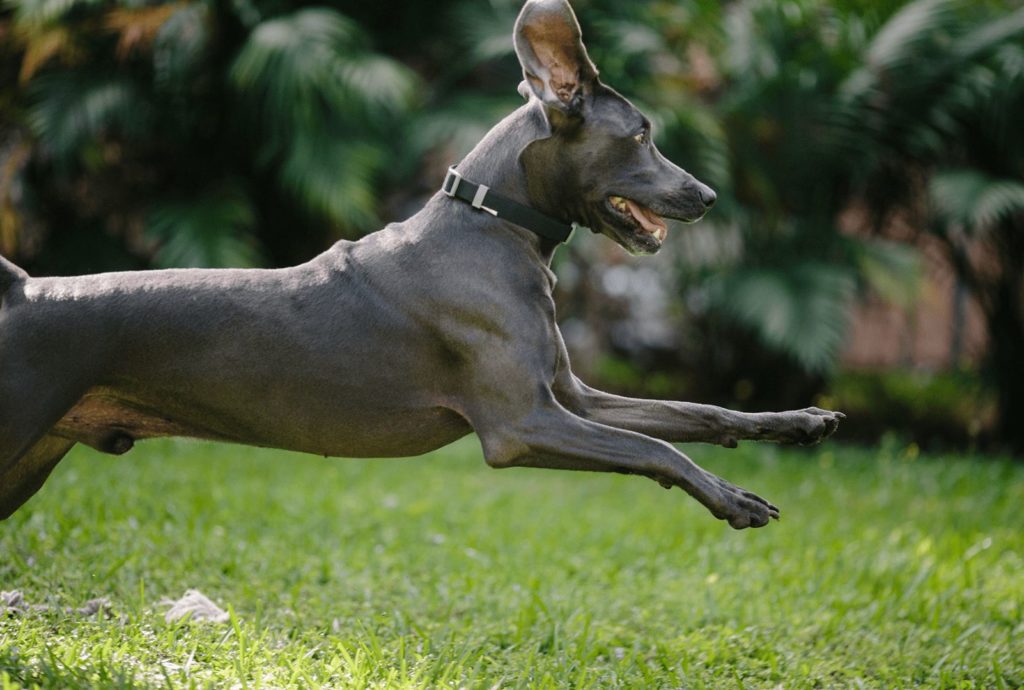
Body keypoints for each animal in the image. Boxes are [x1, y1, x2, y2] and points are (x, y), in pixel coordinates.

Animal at [0, 0, 839, 524]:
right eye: (641, 134)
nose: (709, 194)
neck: (493, 228)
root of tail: (21, 291)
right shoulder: (521, 424)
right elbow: (655, 445)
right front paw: (734, 500)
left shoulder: (570, 397)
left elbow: (697, 413)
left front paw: (801, 422)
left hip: (29, 459)